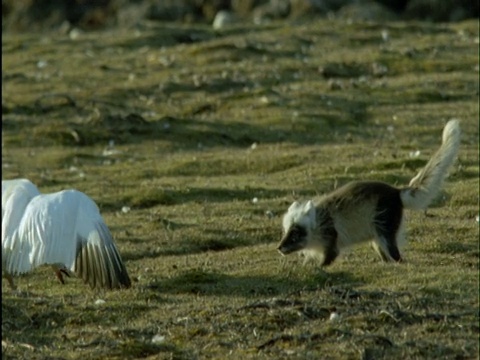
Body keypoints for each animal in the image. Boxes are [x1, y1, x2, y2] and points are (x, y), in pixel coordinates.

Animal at [278, 119, 462, 266]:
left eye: (296, 233)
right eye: (286, 231)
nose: (279, 248)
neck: (319, 223)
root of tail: (397, 192)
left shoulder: (331, 239)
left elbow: (328, 259)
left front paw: (319, 268)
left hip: (385, 228)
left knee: (397, 255)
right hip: (376, 236)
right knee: (385, 254)